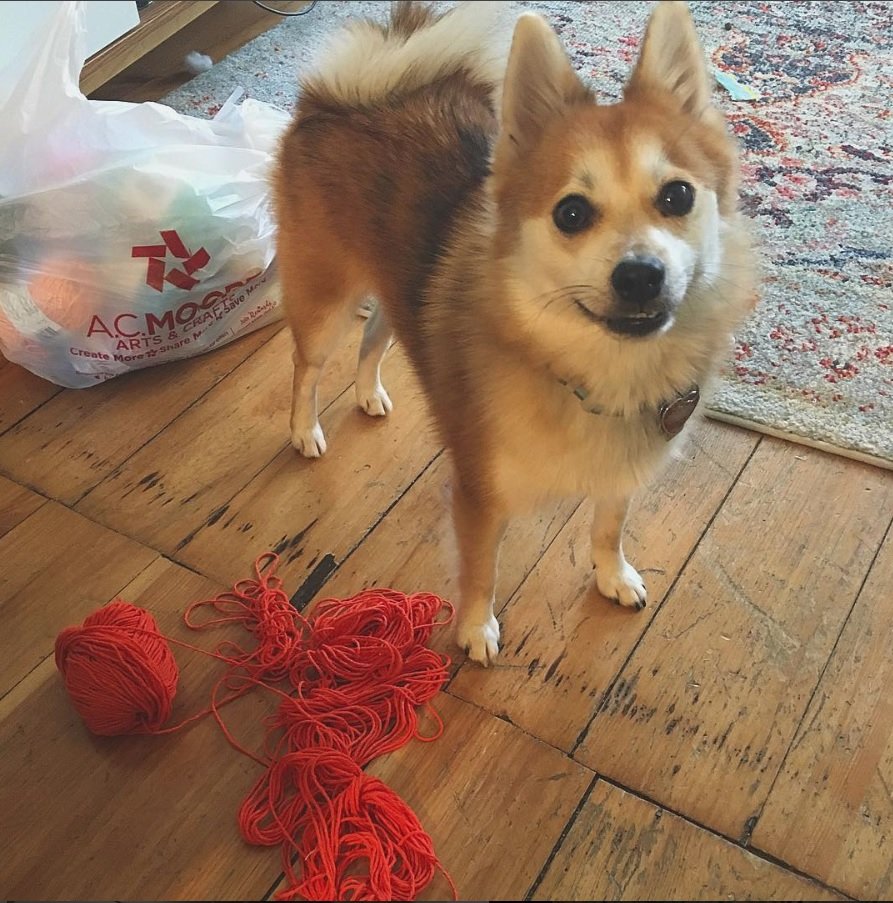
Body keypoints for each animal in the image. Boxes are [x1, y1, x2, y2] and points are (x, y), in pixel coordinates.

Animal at [272, 0, 752, 664]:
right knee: (307, 366)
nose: (639, 274)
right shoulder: (479, 497)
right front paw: (477, 629)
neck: (594, 370)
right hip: (326, 302)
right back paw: (304, 429)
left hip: (400, 295)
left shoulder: (620, 474)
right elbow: (482, 571)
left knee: (373, 341)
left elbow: (608, 527)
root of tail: (341, 96)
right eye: (571, 213)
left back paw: (368, 394)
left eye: (678, 195)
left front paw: (613, 574)